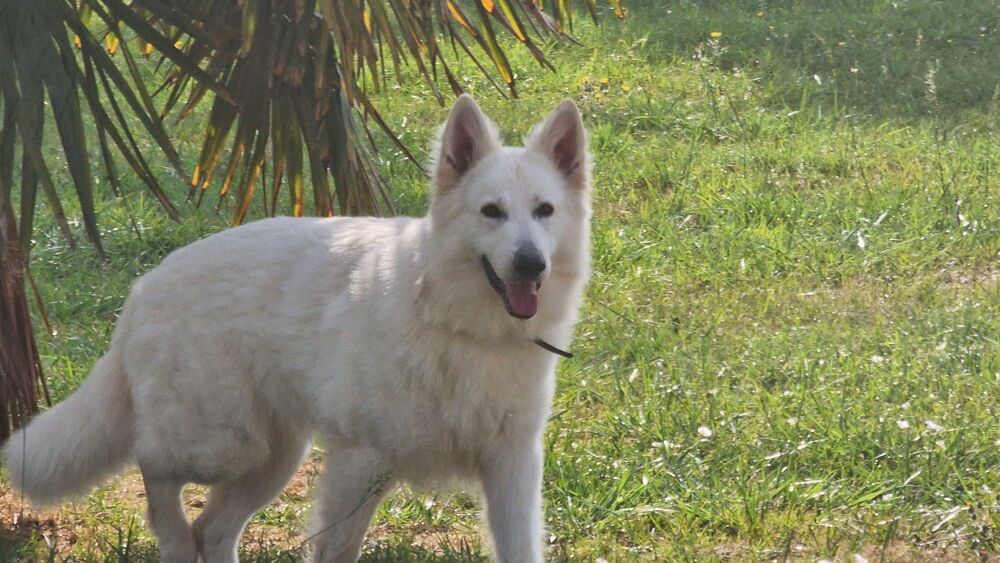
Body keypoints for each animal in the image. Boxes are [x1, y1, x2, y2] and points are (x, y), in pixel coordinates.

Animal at [3, 94, 588, 560]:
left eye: (544, 210)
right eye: (491, 212)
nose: (531, 264)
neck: (457, 321)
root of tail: (145, 286)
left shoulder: (512, 466)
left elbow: (520, 548)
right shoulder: (361, 464)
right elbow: (337, 549)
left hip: (271, 459)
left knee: (211, 530)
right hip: (218, 445)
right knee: (155, 469)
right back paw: (169, 537)